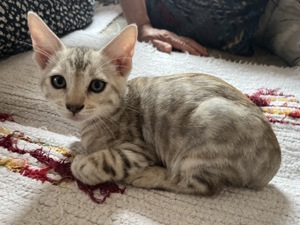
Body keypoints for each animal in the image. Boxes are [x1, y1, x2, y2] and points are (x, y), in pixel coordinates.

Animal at [27, 12, 280, 195]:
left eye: (97, 86)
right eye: (59, 81)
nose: (74, 106)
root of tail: (272, 163)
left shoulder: (141, 150)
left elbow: (111, 158)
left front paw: (83, 163)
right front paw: (79, 144)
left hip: (207, 127)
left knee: (202, 186)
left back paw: (148, 176)